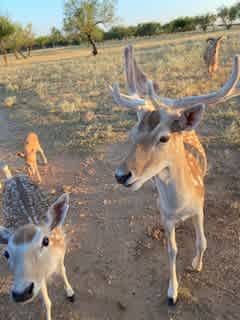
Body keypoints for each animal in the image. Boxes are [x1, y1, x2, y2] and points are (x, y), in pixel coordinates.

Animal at [110, 44, 240, 304]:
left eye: (164, 137)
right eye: (132, 134)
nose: (121, 175)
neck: (180, 206)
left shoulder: (200, 206)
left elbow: (202, 241)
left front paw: (196, 265)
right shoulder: (165, 216)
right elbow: (171, 250)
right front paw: (172, 292)